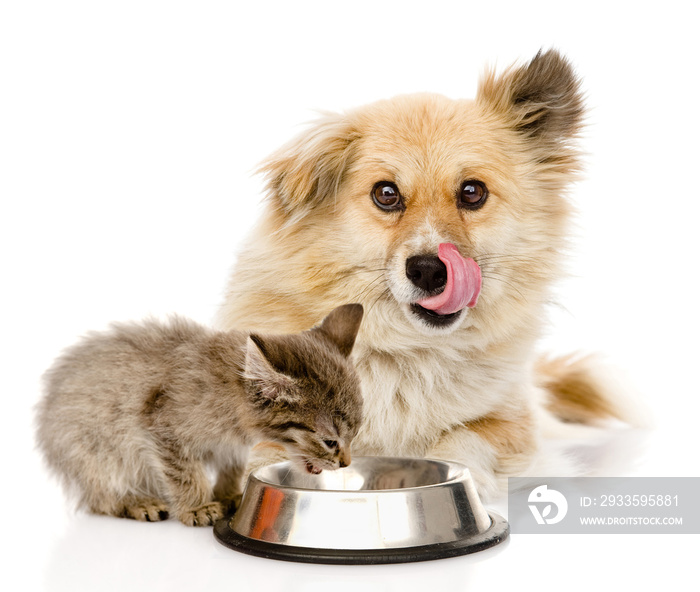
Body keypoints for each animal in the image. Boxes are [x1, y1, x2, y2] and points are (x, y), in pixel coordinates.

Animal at [35, 302, 364, 524]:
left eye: (355, 434)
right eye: (330, 442)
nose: (346, 463)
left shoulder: (232, 446)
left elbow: (231, 465)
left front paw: (230, 495)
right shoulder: (161, 425)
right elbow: (184, 472)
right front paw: (197, 506)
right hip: (92, 451)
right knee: (101, 497)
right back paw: (137, 502)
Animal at [217, 49, 636, 500]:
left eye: (472, 192)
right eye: (386, 194)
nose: (429, 271)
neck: (406, 350)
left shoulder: (511, 425)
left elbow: (462, 439)